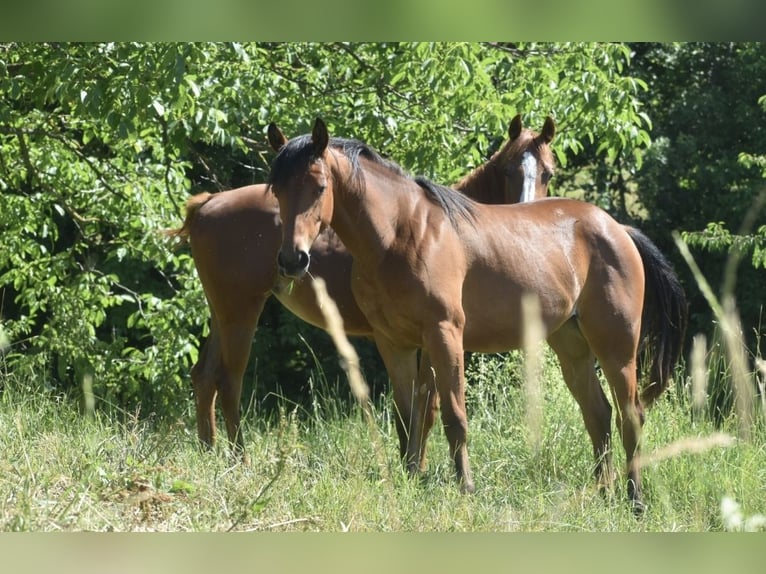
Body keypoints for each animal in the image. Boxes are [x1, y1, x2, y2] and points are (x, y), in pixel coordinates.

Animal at [170, 115, 556, 458]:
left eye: (547, 172)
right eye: (507, 170)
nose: (293, 260)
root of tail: (208, 203)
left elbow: (422, 409)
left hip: (222, 313)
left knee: (204, 377)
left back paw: (210, 453)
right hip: (241, 313)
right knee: (229, 382)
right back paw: (239, 459)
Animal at [267, 118, 687, 514]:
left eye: (320, 187)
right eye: (277, 189)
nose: (292, 259)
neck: (400, 234)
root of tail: (618, 229)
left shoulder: (445, 335)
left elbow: (453, 416)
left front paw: (465, 487)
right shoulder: (395, 343)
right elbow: (409, 417)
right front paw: (410, 479)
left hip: (616, 346)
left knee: (629, 415)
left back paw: (635, 500)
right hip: (570, 344)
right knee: (597, 413)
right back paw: (603, 494)